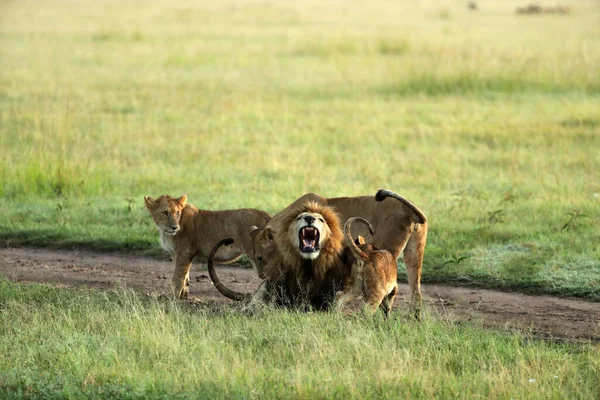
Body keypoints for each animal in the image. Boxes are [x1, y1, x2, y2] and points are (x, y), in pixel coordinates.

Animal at [247, 189, 426, 320]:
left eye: (260, 258)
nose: (262, 275)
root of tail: (410, 210)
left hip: (388, 248)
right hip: (414, 252)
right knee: (416, 292)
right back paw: (414, 321)